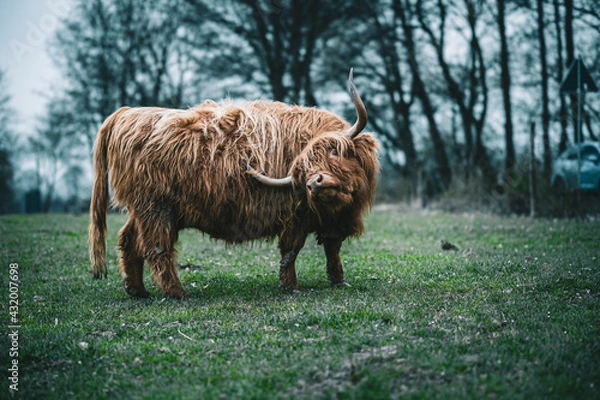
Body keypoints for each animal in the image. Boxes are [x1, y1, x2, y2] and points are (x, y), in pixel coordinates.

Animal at [89, 70, 378, 298]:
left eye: (334, 151)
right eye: (304, 170)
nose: (314, 183)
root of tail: (128, 113)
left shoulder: (334, 220)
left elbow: (332, 248)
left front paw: (339, 281)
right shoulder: (295, 215)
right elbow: (290, 251)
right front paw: (291, 287)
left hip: (141, 209)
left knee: (128, 240)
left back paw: (137, 290)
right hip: (156, 207)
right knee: (157, 248)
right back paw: (178, 293)